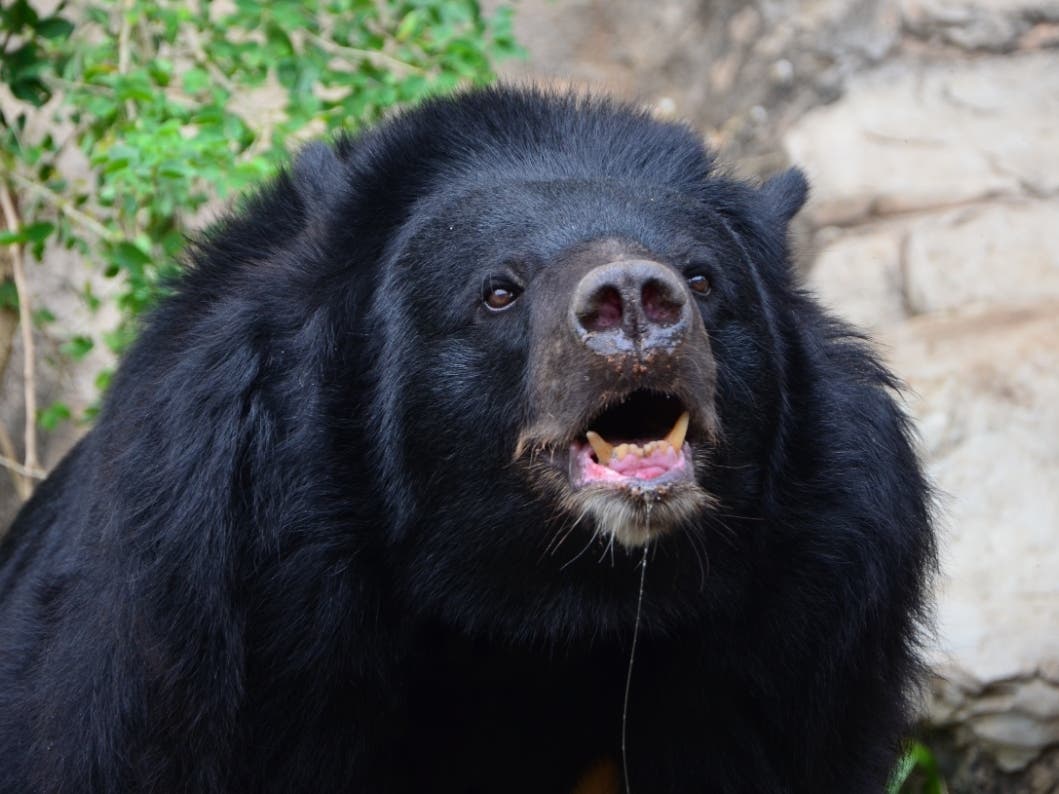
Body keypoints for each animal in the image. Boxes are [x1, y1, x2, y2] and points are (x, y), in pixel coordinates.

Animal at [0, 87, 935, 793]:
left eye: (702, 279)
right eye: (497, 291)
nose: (635, 301)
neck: (544, 602)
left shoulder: (802, 621)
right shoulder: (225, 601)